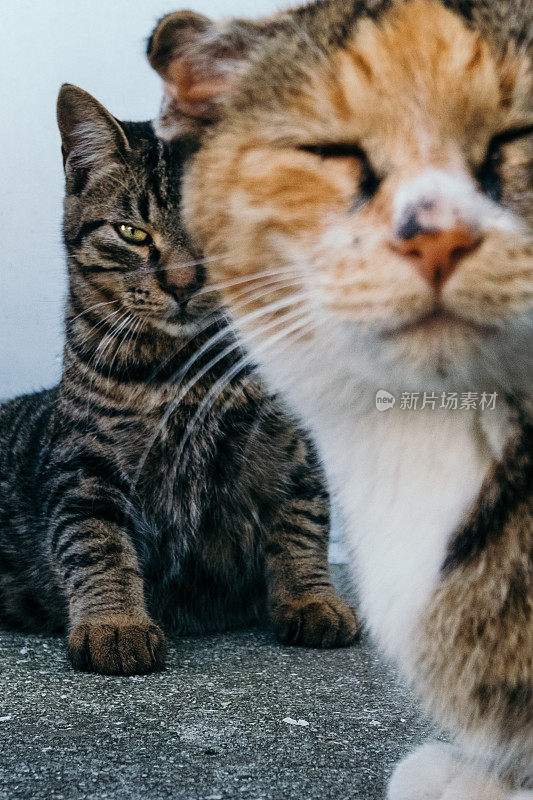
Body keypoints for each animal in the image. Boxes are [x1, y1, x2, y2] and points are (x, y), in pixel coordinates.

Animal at [0, 84, 362, 676]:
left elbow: (302, 522)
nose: (182, 283)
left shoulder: (292, 448)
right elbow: (96, 543)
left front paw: (313, 599)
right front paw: (115, 624)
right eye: (132, 232)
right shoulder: (83, 467)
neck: (184, 370)